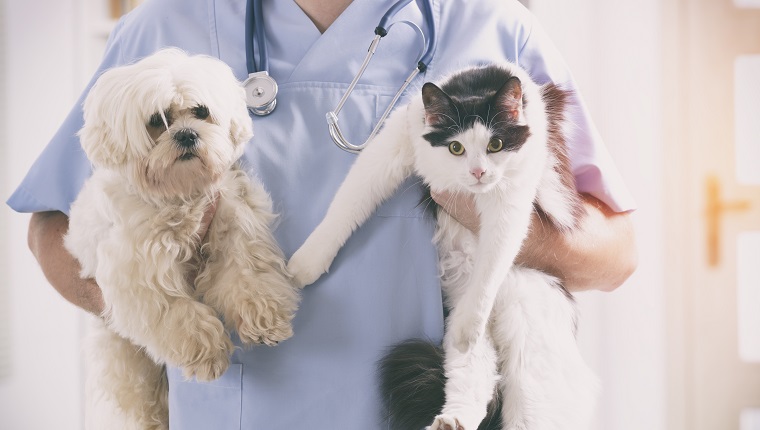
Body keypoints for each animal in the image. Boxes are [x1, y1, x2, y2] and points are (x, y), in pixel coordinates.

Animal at [63, 48, 300, 430]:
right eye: (156, 121)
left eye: (201, 112)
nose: (187, 135)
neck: (181, 195)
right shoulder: (141, 274)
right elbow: (179, 313)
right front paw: (208, 353)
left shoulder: (233, 224)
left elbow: (248, 276)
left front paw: (263, 317)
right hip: (124, 358)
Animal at [288, 63, 596, 430]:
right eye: (456, 148)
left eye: (495, 144)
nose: (478, 173)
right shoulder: (396, 143)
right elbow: (347, 203)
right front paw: (306, 263)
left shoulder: (511, 199)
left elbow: (492, 264)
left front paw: (471, 319)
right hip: (470, 344)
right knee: (474, 377)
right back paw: (453, 420)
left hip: (533, 361)